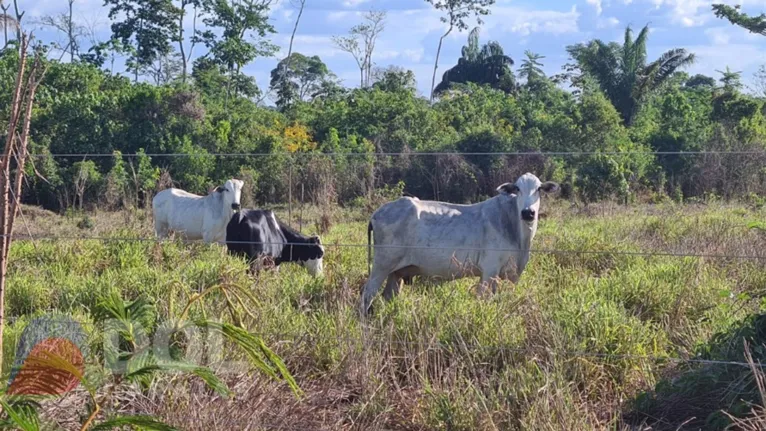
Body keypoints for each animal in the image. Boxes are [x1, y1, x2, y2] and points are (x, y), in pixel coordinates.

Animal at [360, 172, 560, 318]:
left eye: (539, 189)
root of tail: (378, 212)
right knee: (366, 296)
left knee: (388, 296)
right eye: (517, 188)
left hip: (396, 273)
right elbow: (482, 299)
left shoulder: (507, 275)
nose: (528, 212)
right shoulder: (489, 271)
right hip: (381, 266)